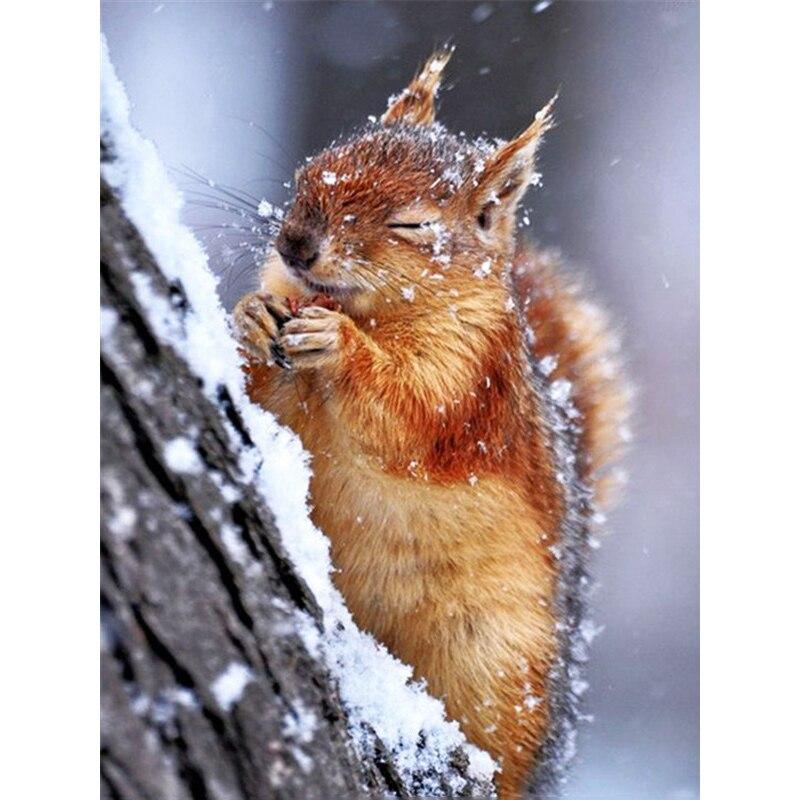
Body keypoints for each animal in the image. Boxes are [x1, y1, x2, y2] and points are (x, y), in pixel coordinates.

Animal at [232, 49, 630, 800]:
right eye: (316, 164)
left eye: (412, 226)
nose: (296, 243)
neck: (369, 310)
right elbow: (262, 389)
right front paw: (252, 315)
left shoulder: (469, 382)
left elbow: (408, 414)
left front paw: (341, 346)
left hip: (493, 662)